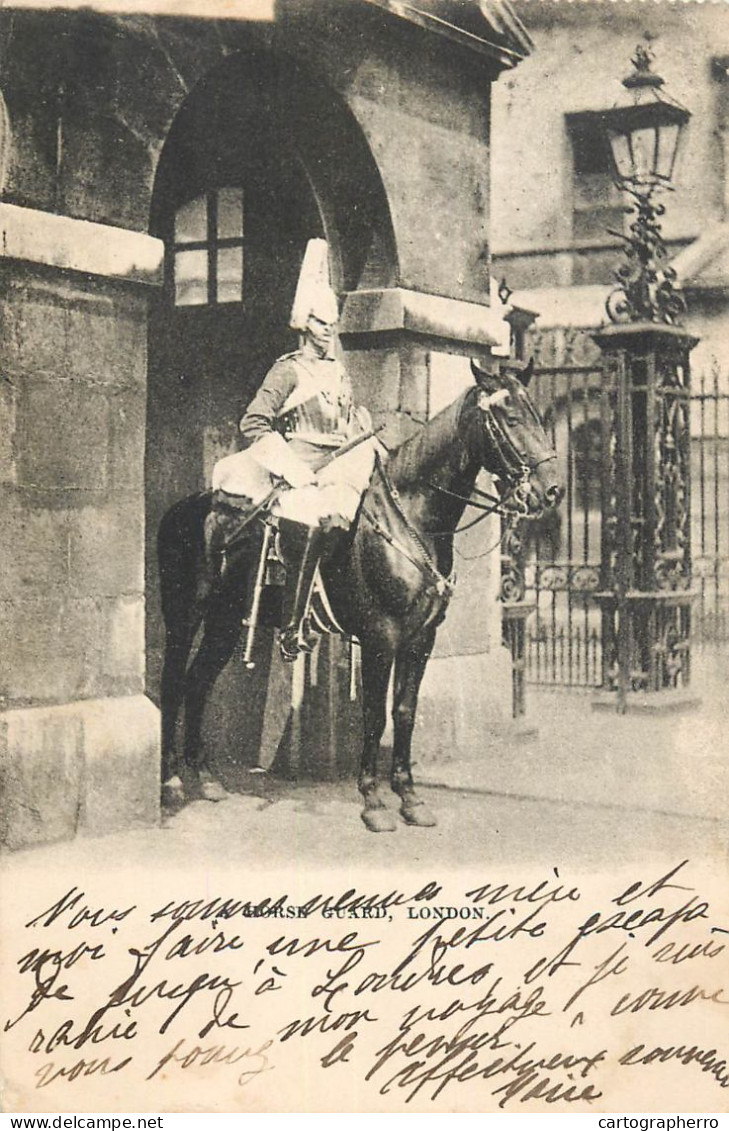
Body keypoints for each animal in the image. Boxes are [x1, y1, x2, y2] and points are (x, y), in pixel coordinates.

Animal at [154, 361, 562, 832]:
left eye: (536, 416)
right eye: (510, 418)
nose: (552, 491)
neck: (413, 518)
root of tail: (183, 508)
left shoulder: (421, 640)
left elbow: (404, 711)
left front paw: (409, 797)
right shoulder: (380, 637)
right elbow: (374, 714)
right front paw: (372, 801)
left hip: (224, 621)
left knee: (198, 682)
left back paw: (205, 779)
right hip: (185, 615)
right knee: (173, 684)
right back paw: (170, 782)